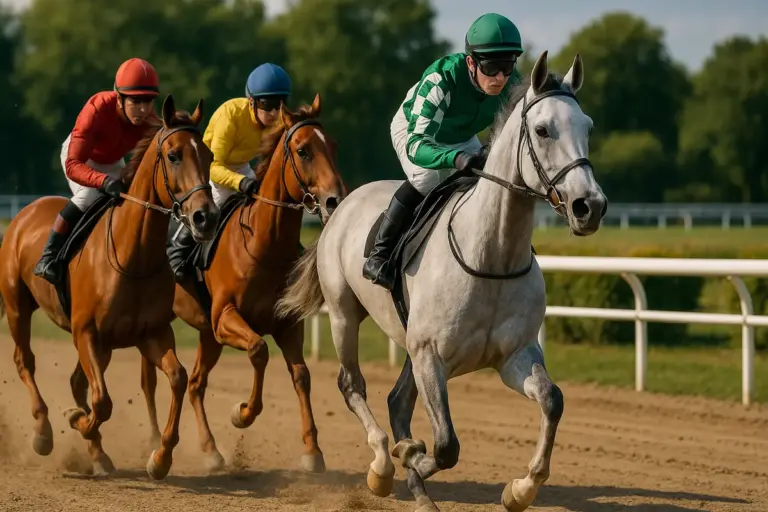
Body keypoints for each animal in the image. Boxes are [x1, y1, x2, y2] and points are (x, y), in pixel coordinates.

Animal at [0, 94, 219, 480]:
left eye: (207, 155)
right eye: (174, 155)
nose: (205, 217)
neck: (135, 257)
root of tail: (24, 214)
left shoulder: (151, 334)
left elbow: (176, 378)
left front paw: (161, 457)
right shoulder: (86, 332)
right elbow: (101, 402)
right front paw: (76, 421)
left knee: (77, 381)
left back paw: (97, 453)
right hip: (16, 307)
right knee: (24, 361)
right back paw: (43, 432)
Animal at [135, 94, 347, 474]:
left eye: (333, 146)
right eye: (304, 150)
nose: (335, 199)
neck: (263, 243)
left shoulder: (286, 324)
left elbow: (302, 375)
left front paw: (312, 451)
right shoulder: (225, 318)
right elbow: (258, 350)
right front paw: (242, 413)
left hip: (204, 334)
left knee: (195, 384)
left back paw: (210, 450)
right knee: (154, 381)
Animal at [274, 51, 608, 511]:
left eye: (588, 127)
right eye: (542, 130)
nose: (589, 206)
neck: (491, 256)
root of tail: (339, 204)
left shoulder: (514, 355)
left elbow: (552, 400)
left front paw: (520, 488)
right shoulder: (431, 355)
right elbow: (446, 446)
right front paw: (409, 456)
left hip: (408, 338)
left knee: (397, 400)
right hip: (344, 313)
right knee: (352, 384)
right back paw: (382, 465)